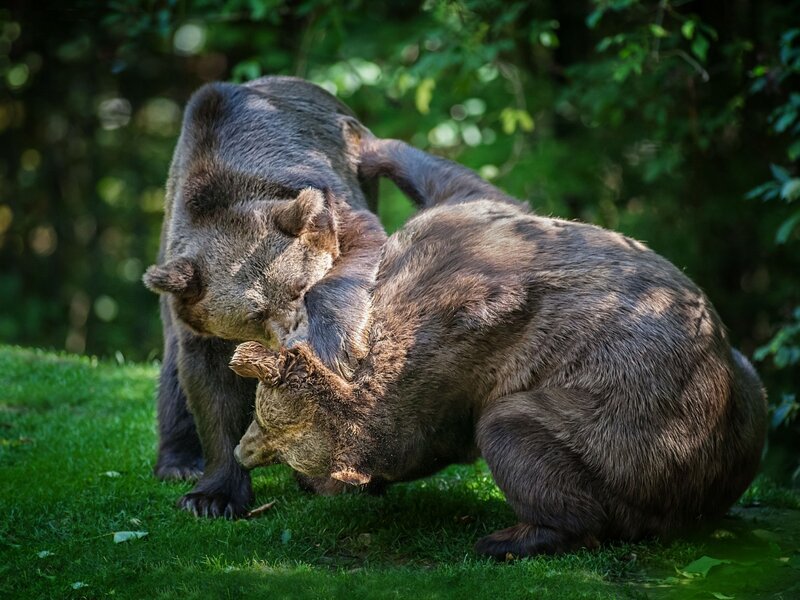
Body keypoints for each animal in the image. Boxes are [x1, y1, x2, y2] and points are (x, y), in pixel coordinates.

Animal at [142, 76, 388, 518]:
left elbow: (358, 250)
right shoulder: (196, 312)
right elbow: (210, 387)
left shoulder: (329, 198)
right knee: (171, 374)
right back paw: (179, 463)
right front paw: (212, 497)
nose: (292, 340)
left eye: (300, 288)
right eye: (254, 315)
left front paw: (334, 345)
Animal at [227, 135, 768, 557]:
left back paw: (511, 538)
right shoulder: (472, 225)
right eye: (266, 421)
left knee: (519, 431)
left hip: (637, 422)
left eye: (277, 436)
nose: (242, 451)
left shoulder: (463, 335)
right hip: (742, 389)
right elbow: (467, 185)